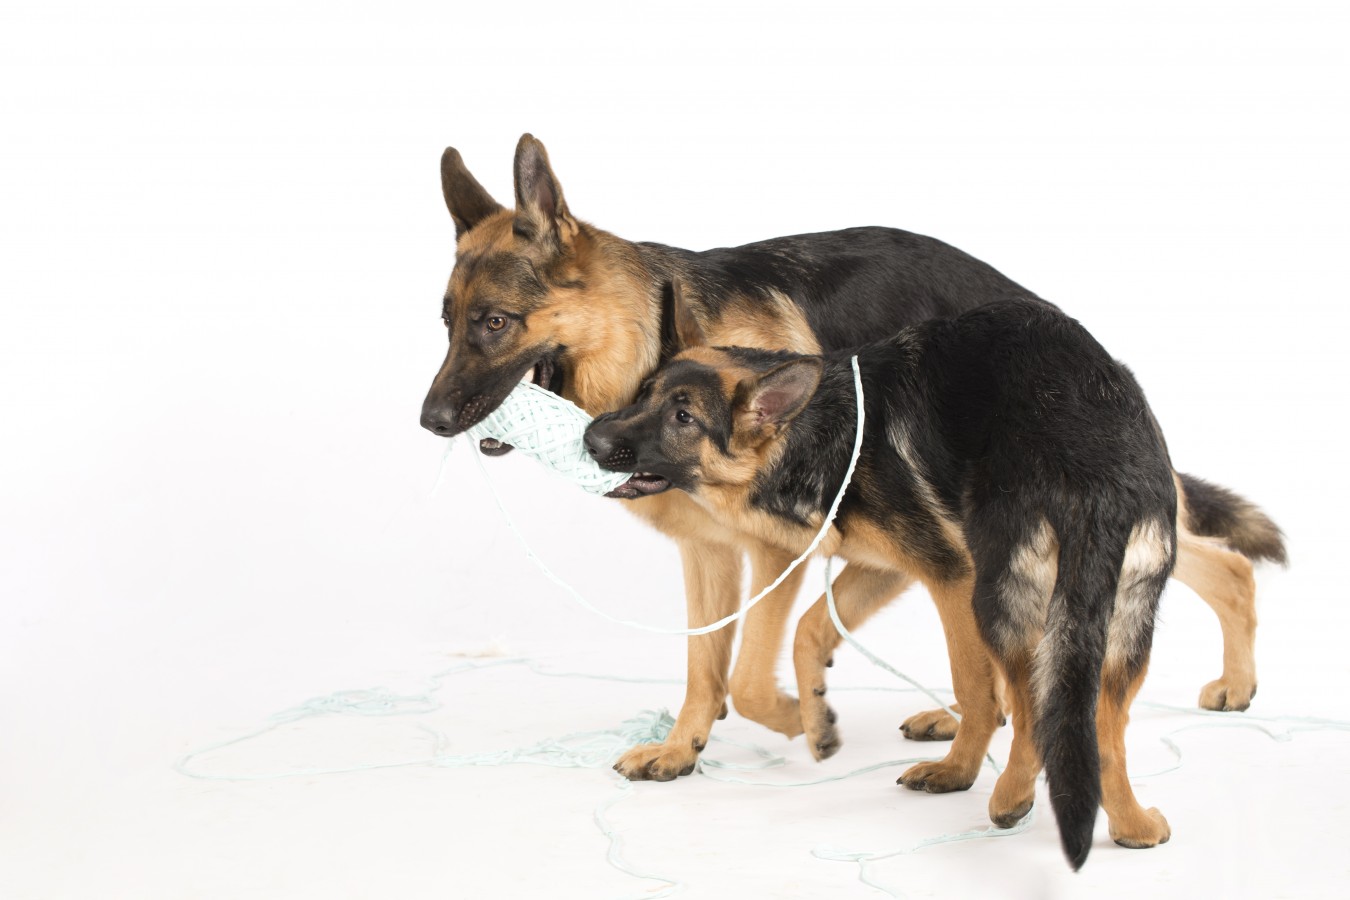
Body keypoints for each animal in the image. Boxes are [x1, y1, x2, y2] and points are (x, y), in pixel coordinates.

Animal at [420, 134, 1283, 781]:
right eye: (446, 321)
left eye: (495, 322)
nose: (429, 421)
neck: (650, 341)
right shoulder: (714, 555)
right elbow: (707, 665)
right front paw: (683, 747)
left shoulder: (781, 551)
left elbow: (751, 668)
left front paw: (799, 719)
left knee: (1217, 563)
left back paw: (1233, 680)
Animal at [584, 294, 1180, 868]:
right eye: (642, 395)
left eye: (683, 416)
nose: (591, 437)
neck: (821, 428)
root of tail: (1097, 473)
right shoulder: (882, 565)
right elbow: (808, 628)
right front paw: (811, 717)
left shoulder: (949, 573)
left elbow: (974, 686)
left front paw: (949, 766)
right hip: (1122, 621)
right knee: (1102, 726)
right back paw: (1133, 825)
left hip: (998, 599)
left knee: (1029, 703)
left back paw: (1001, 790)